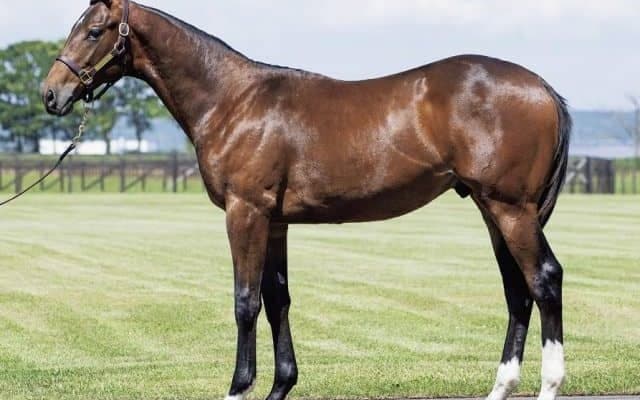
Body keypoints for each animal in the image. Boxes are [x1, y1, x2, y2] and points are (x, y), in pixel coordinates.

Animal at [42, 1, 571, 399]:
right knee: (517, 290)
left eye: (93, 31)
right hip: (492, 209)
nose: (51, 93)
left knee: (544, 279)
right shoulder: (275, 221)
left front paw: (239, 387)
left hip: (510, 208)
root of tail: (544, 88)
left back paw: (550, 383)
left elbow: (246, 302)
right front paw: (281, 385)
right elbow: (278, 299)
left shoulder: (245, 213)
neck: (232, 101)